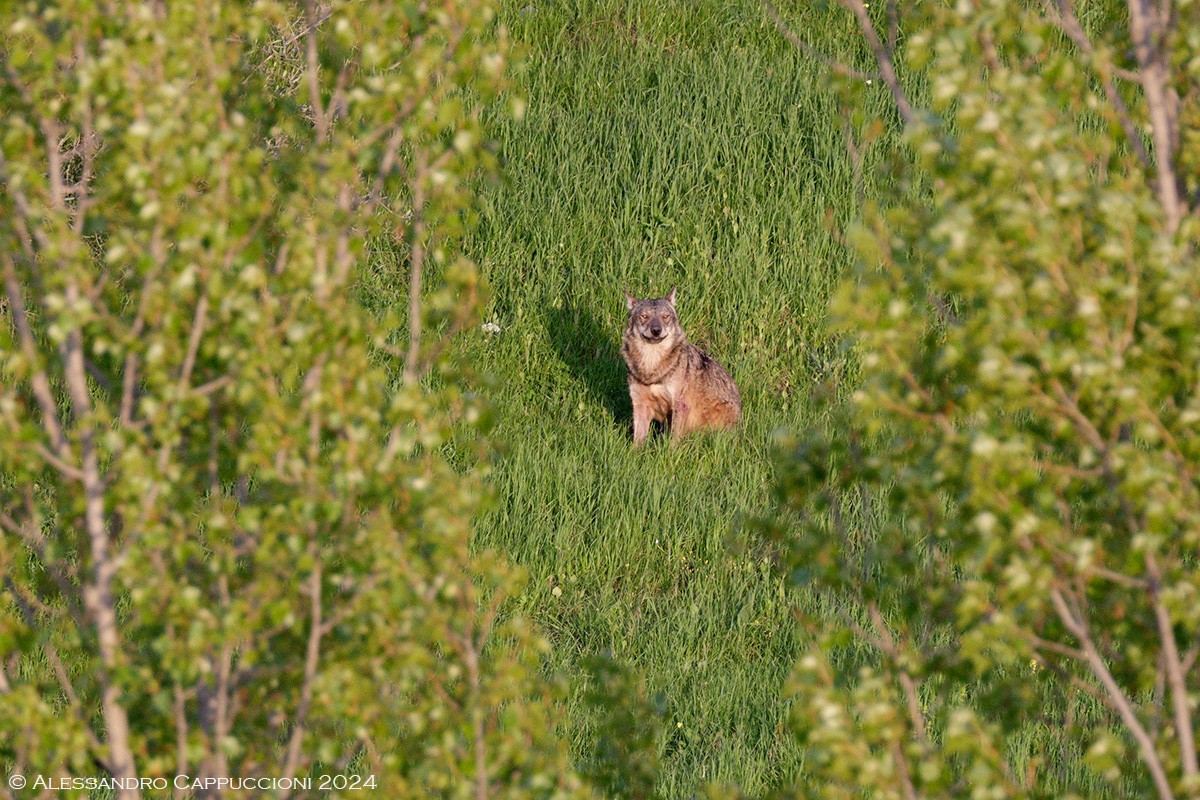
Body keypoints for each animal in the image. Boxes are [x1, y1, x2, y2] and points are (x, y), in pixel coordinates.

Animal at [624, 291, 734, 448]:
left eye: (665, 317)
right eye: (644, 316)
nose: (656, 330)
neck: (652, 366)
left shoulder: (680, 405)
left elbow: (673, 441)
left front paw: (670, 453)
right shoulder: (639, 404)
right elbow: (638, 441)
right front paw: (634, 453)